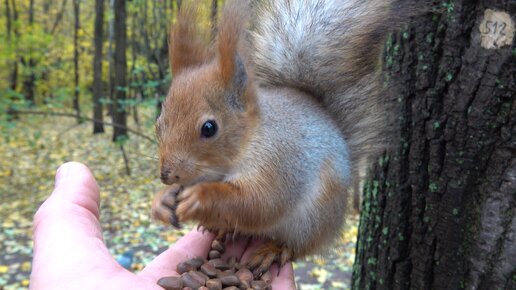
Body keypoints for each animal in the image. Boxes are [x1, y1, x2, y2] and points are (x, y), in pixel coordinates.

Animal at [152, 0, 412, 276]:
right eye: (158, 123)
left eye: (209, 128)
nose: (167, 175)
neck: (251, 138)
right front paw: (163, 201)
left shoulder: (279, 161)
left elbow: (259, 202)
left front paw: (200, 197)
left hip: (312, 220)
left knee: (299, 247)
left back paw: (274, 251)